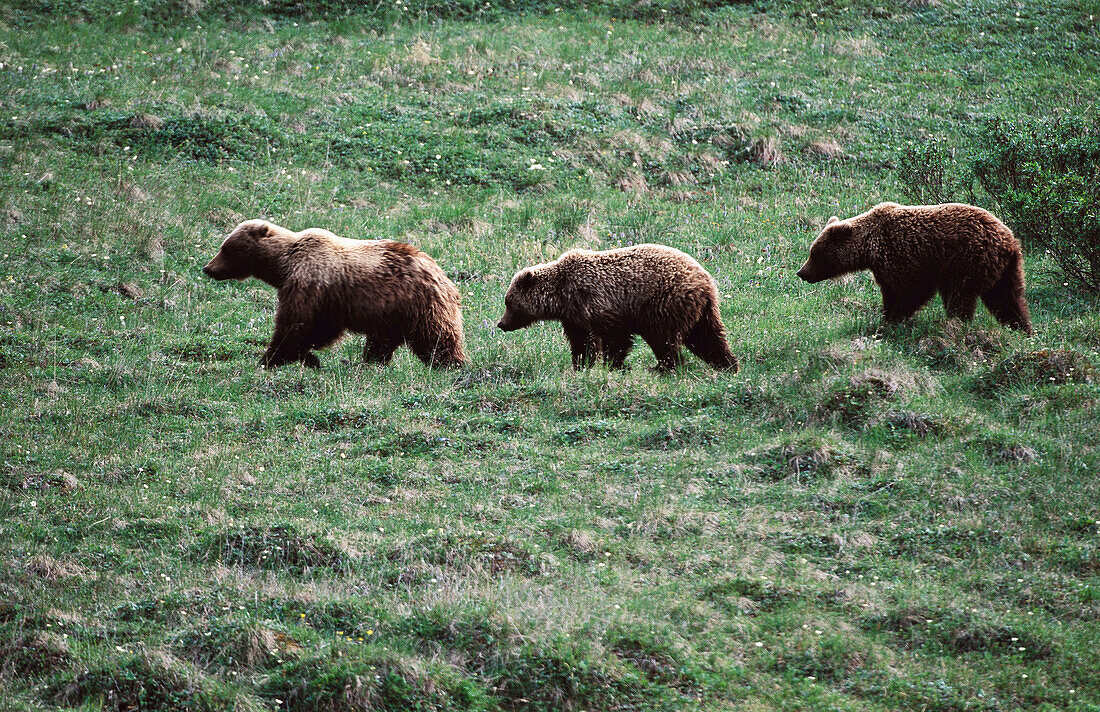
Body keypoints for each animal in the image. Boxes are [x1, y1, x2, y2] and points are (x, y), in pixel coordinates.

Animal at [204, 220, 466, 369]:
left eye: (226, 248)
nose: (208, 268)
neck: (283, 265)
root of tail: (443, 275)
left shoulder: (309, 282)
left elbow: (295, 324)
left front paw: (270, 358)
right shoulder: (328, 301)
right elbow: (319, 330)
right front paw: (308, 358)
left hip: (417, 303)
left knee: (436, 337)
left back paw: (451, 365)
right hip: (392, 314)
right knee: (381, 341)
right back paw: (371, 361)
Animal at [499, 245, 739, 374]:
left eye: (509, 303)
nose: (501, 324)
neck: (561, 296)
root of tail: (705, 280)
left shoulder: (599, 303)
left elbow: (615, 338)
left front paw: (612, 365)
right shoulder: (574, 317)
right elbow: (581, 341)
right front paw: (580, 365)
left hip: (663, 302)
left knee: (663, 339)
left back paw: (664, 367)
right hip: (702, 310)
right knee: (708, 337)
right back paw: (728, 365)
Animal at [800, 202, 1029, 332]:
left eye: (815, 254)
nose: (801, 272)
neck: (870, 248)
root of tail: (1008, 240)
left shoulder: (901, 254)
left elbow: (914, 290)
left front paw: (894, 319)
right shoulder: (883, 269)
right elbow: (890, 292)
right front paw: (886, 316)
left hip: (967, 259)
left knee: (960, 294)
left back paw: (956, 323)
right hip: (1006, 269)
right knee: (1008, 298)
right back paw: (1022, 328)